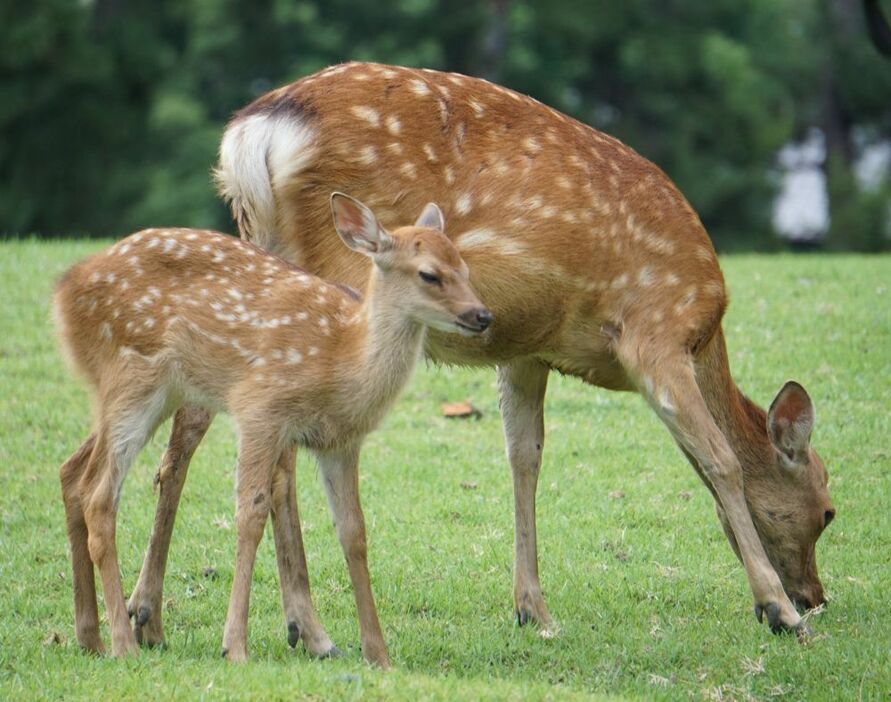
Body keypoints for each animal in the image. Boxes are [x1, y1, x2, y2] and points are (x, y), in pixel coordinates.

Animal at [55, 195, 492, 668]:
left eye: (464, 266)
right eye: (429, 274)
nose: (482, 315)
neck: (343, 359)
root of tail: (63, 295)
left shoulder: (340, 442)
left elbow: (353, 531)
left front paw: (379, 655)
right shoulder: (261, 409)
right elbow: (251, 514)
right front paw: (235, 646)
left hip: (145, 393)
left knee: (73, 471)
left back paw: (90, 637)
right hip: (135, 379)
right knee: (100, 494)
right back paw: (123, 642)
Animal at [131, 63, 836, 652]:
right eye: (828, 509)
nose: (816, 596)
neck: (703, 328)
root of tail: (254, 136)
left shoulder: (528, 349)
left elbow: (524, 457)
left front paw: (533, 609)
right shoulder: (653, 331)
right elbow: (720, 461)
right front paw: (777, 612)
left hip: (259, 262)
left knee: (196, 426)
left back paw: (153, 617)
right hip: (336, 273)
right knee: (268, 451)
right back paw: (305, 627)